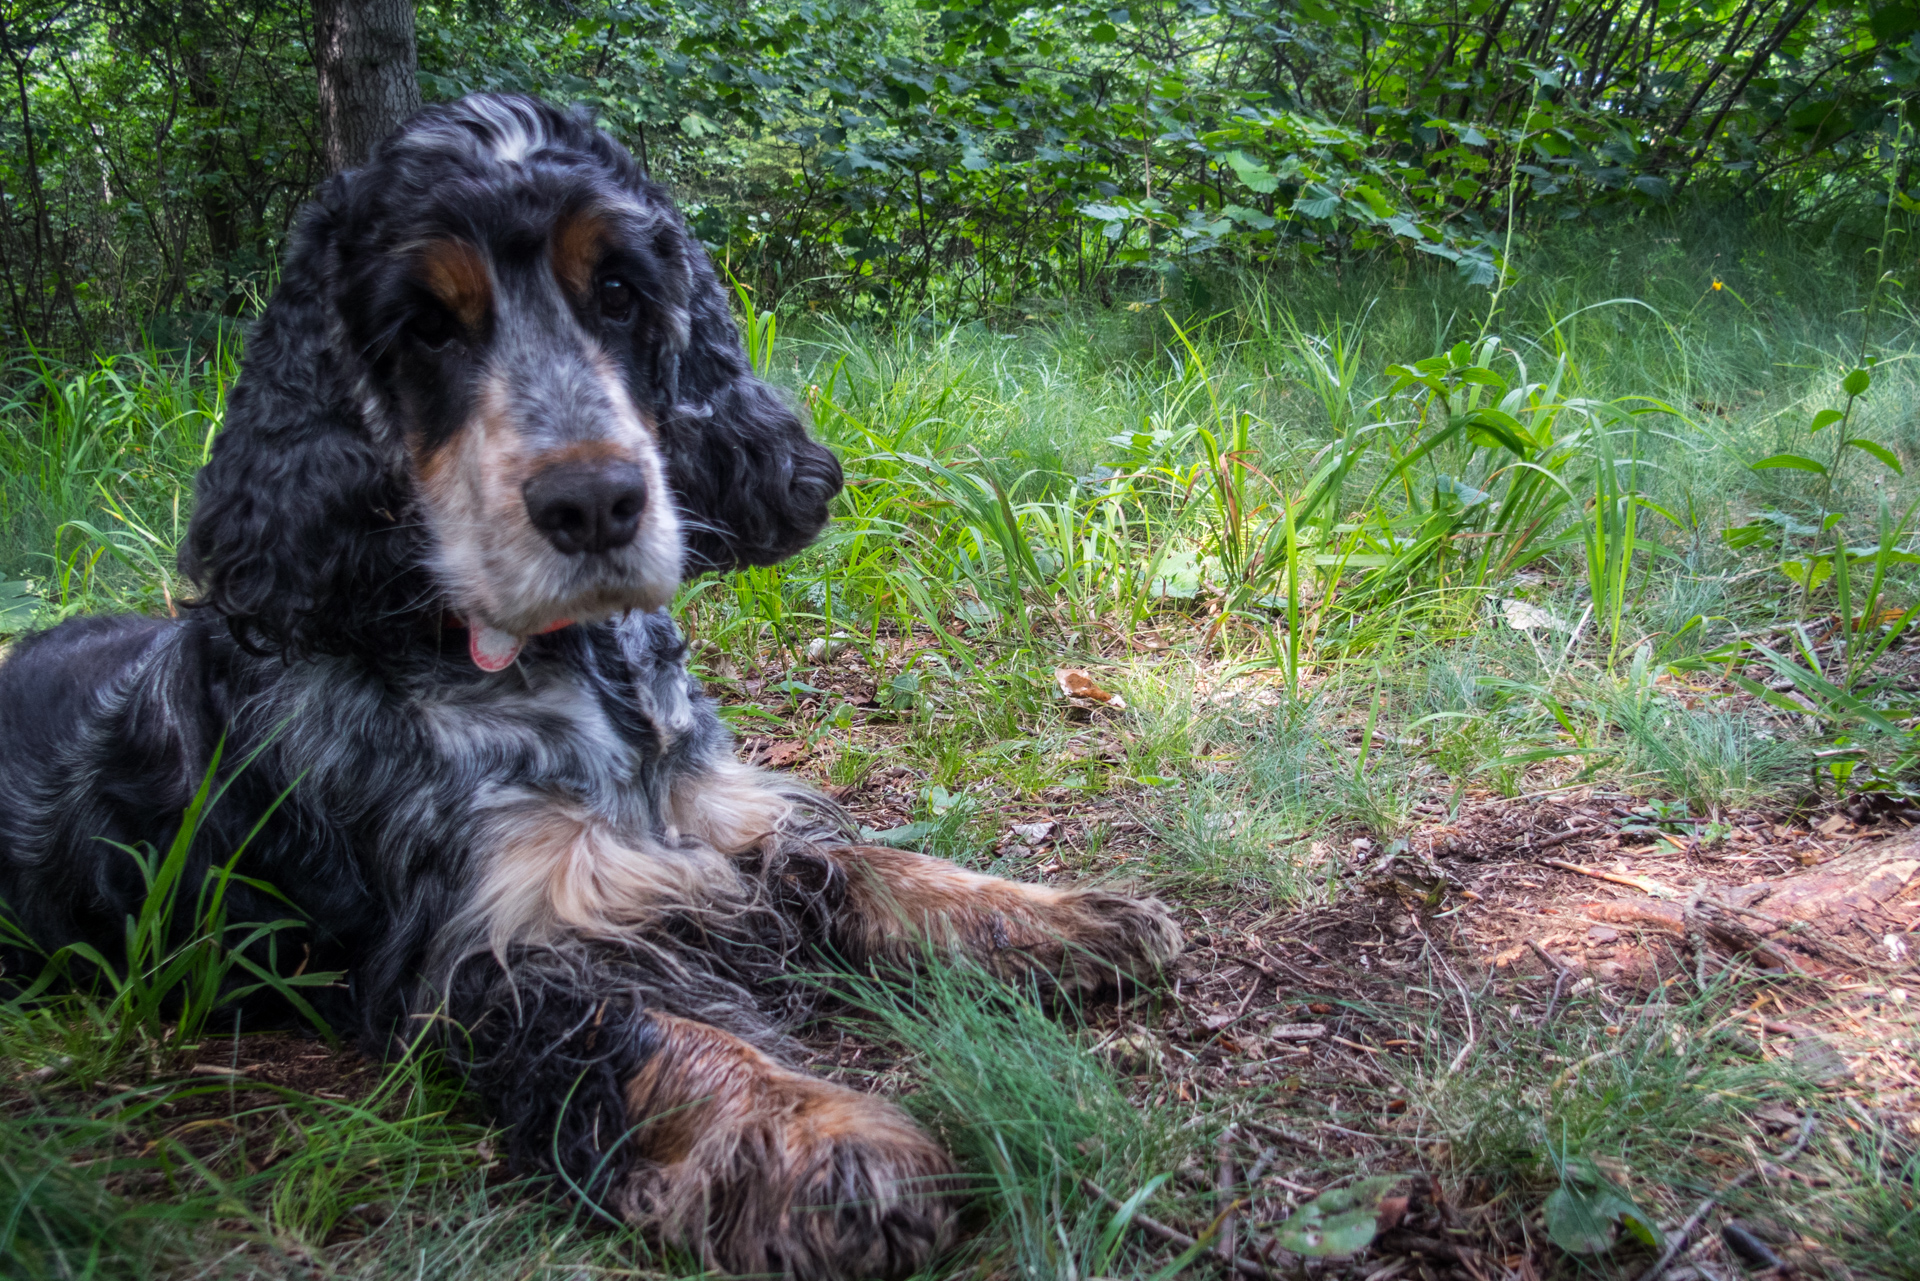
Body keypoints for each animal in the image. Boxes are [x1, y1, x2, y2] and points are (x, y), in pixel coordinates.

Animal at [0, 95, 1182, 1275]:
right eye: (425, 327)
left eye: (618, 290)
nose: (596, 502)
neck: (574, 668)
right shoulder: (504, 949)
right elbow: (670, 1039)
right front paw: (825, 1145)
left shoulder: (722, 819)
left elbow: (876, 863)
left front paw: (1066, 917)